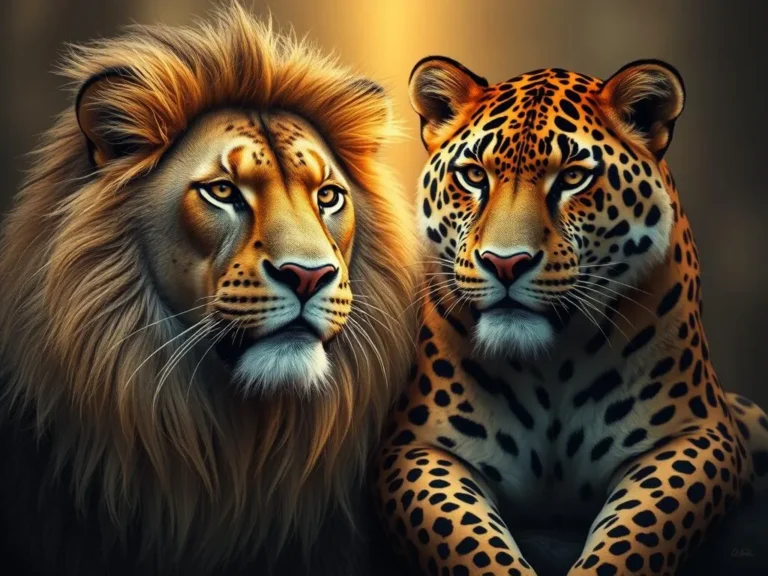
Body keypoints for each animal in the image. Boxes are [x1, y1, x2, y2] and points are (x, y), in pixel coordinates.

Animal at [374, 56, 768, 576]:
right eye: (474, 176)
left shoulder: (700, 434)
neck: (551, 365)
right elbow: (468, 543)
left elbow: (637, 536)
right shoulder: (416, 447)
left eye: (573, 178)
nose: (505, 263)